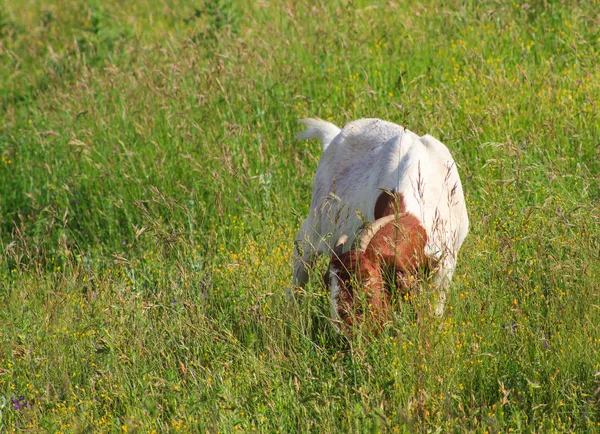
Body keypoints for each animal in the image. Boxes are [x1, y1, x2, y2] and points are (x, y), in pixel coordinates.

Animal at [290, 117, 468, 328]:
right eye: (329, 283)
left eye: (366, 279)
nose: (343, 327)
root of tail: (336, 135)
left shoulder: (445, 264)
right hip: (313, 226)